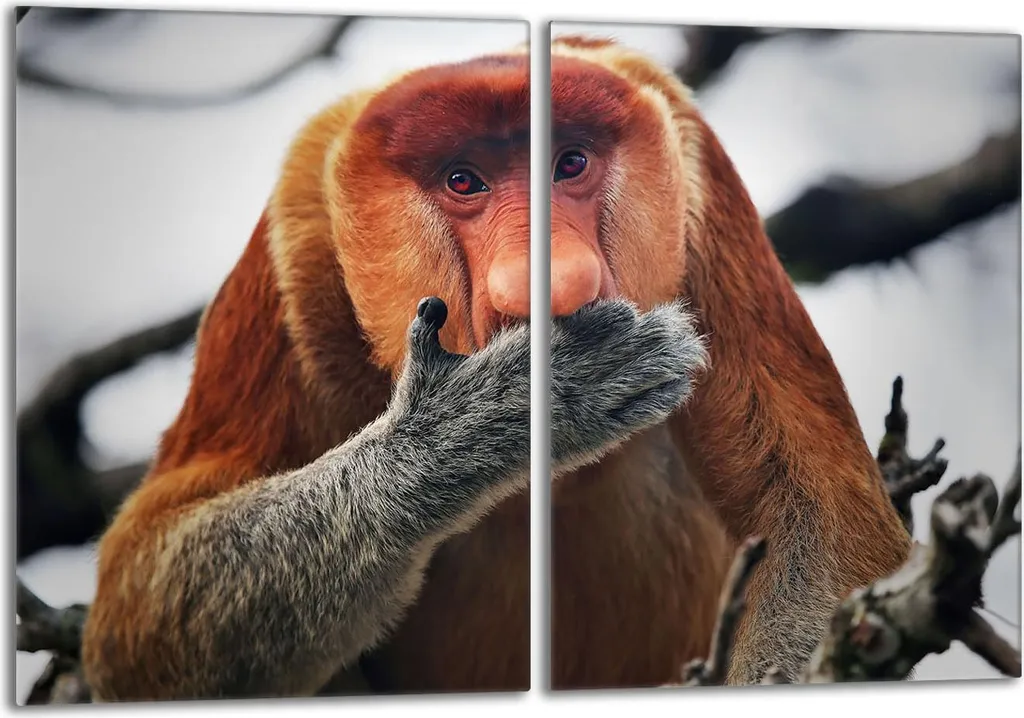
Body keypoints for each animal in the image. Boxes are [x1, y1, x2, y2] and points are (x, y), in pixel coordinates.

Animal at [79, 46, 713, 700]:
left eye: (571, 165)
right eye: (463, 181)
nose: (555, 284)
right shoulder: (296, 244)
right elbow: (139, 592)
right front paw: (508, 412)